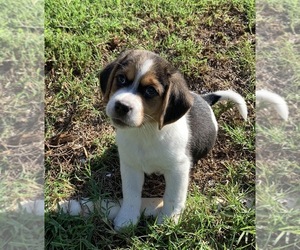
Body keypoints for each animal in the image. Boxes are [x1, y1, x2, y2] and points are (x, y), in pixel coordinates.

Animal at [99, 49, 247, 230]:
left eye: (150, 91)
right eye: (121, 78)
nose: (121, 106)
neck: (146, 132)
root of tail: (204, 100)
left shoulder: (178, 169)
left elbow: (172, 197)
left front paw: (168, 221)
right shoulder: (130, 165)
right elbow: (131, 194)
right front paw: (127, 218)